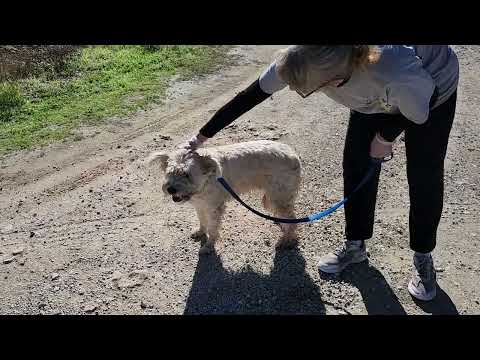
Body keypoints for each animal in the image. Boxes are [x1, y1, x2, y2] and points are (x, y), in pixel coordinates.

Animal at [148, 139, 302, 255]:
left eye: (186, 174)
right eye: (169, 173)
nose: (170, 189)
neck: (207, 179)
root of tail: (293, 154)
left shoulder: (214, 208)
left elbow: (212, 229)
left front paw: (208, 246)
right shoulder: (200, 205)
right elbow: (202, 221)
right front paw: (200, 232)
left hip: (279, 197)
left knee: (292, 219)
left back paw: (286, 240)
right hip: (274, 197)